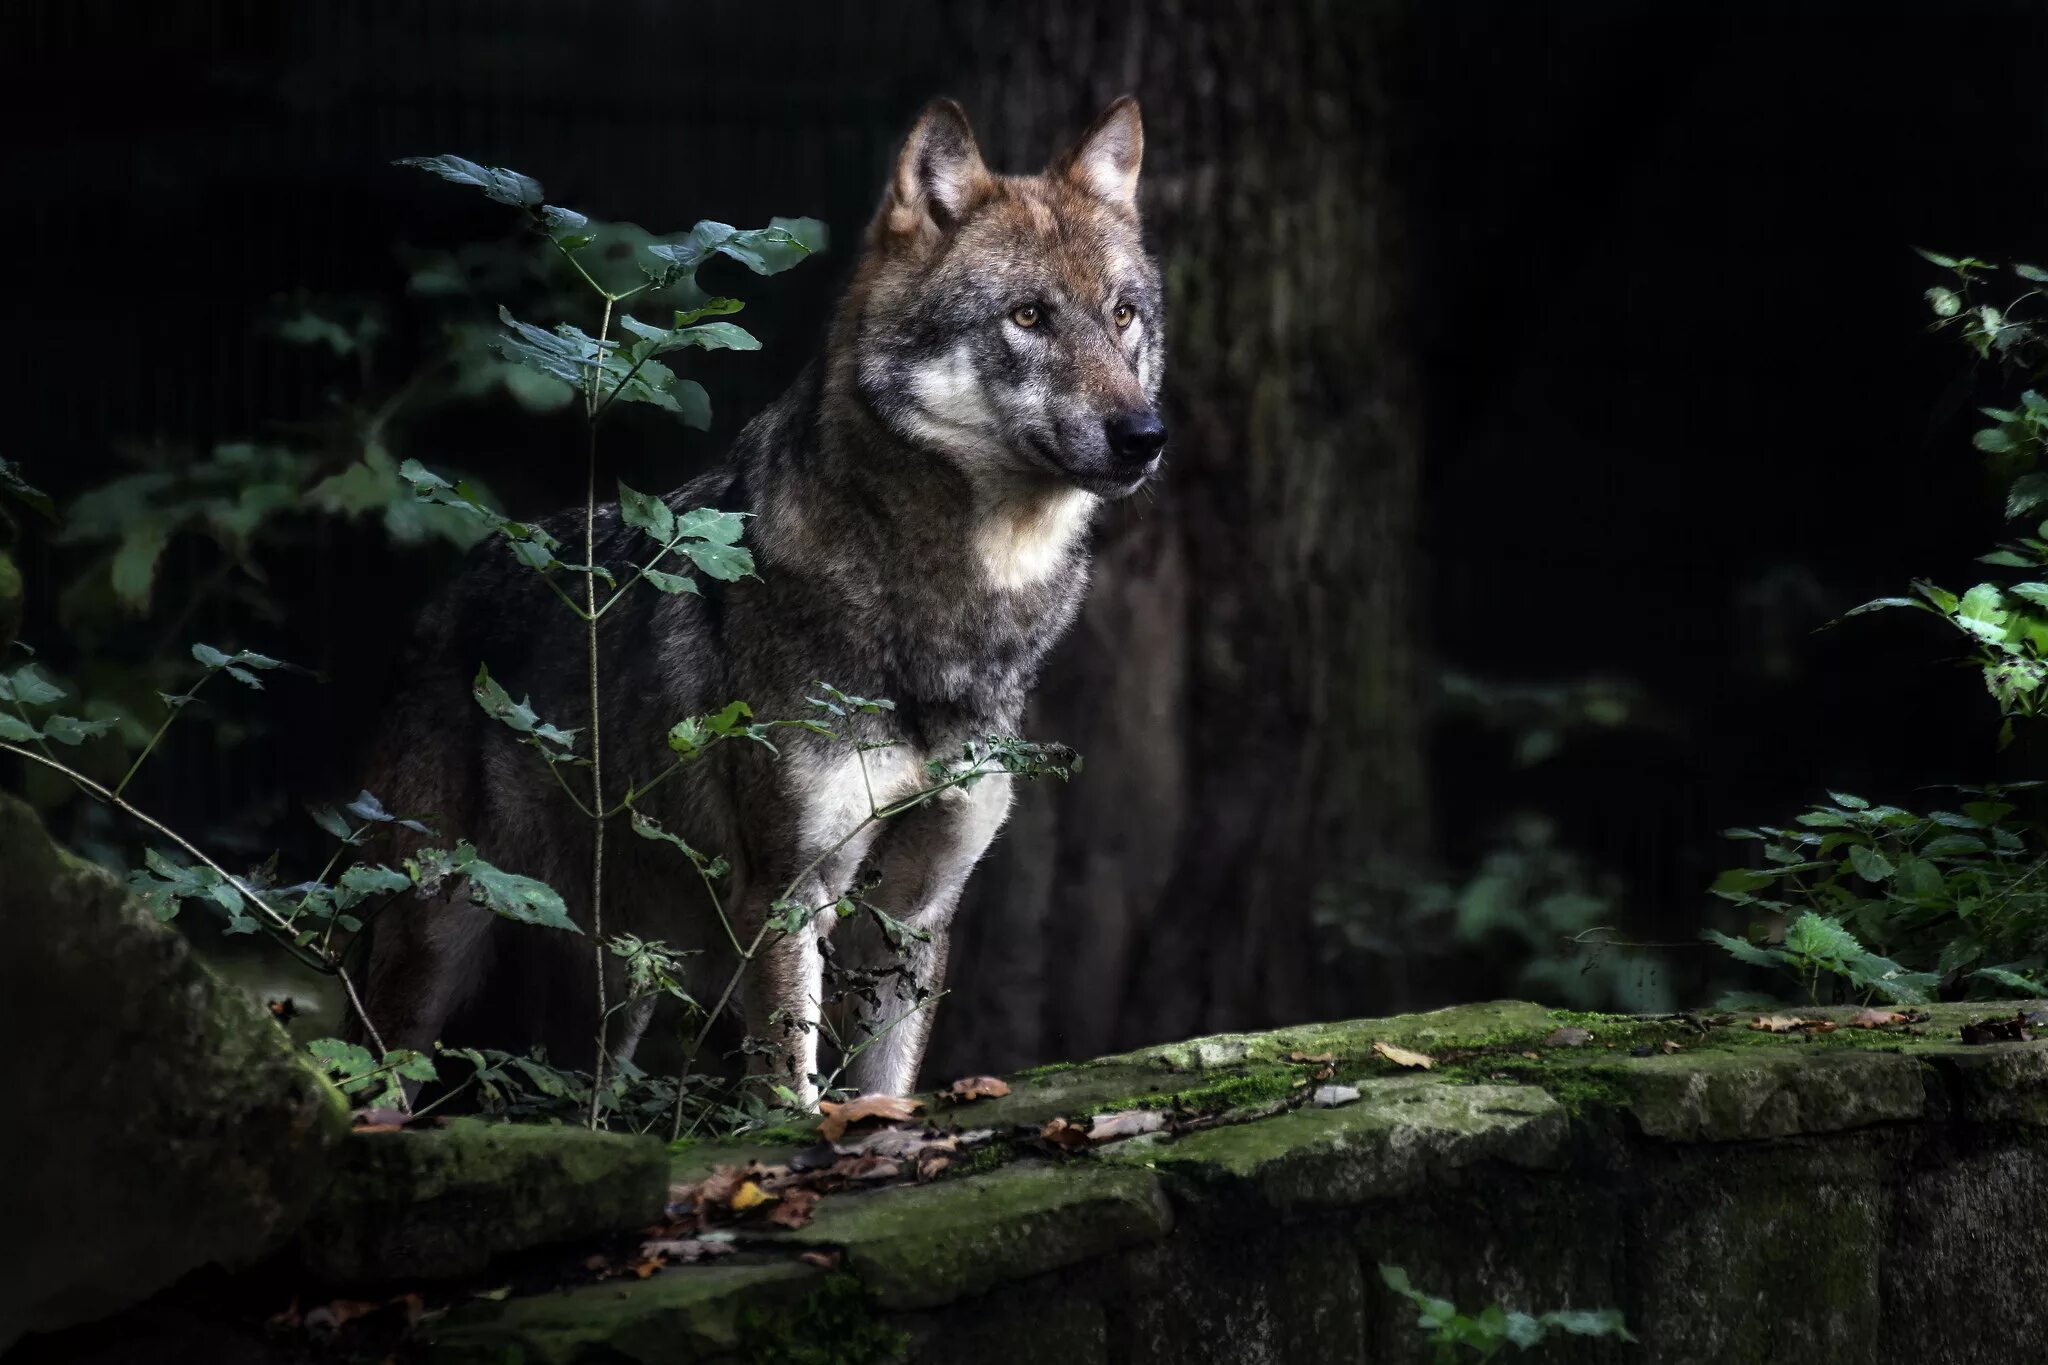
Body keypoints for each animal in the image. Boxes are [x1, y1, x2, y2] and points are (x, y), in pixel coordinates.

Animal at [364, 96, 1171, 1105]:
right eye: (1029, 315)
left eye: (1124, 315)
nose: (1145, 435)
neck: (947, 615)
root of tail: (452, 587)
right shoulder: (790, 894)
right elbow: (789, 1084)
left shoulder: (915, 912)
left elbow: (883, 1093)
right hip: (432, 945)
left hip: (622, 982)